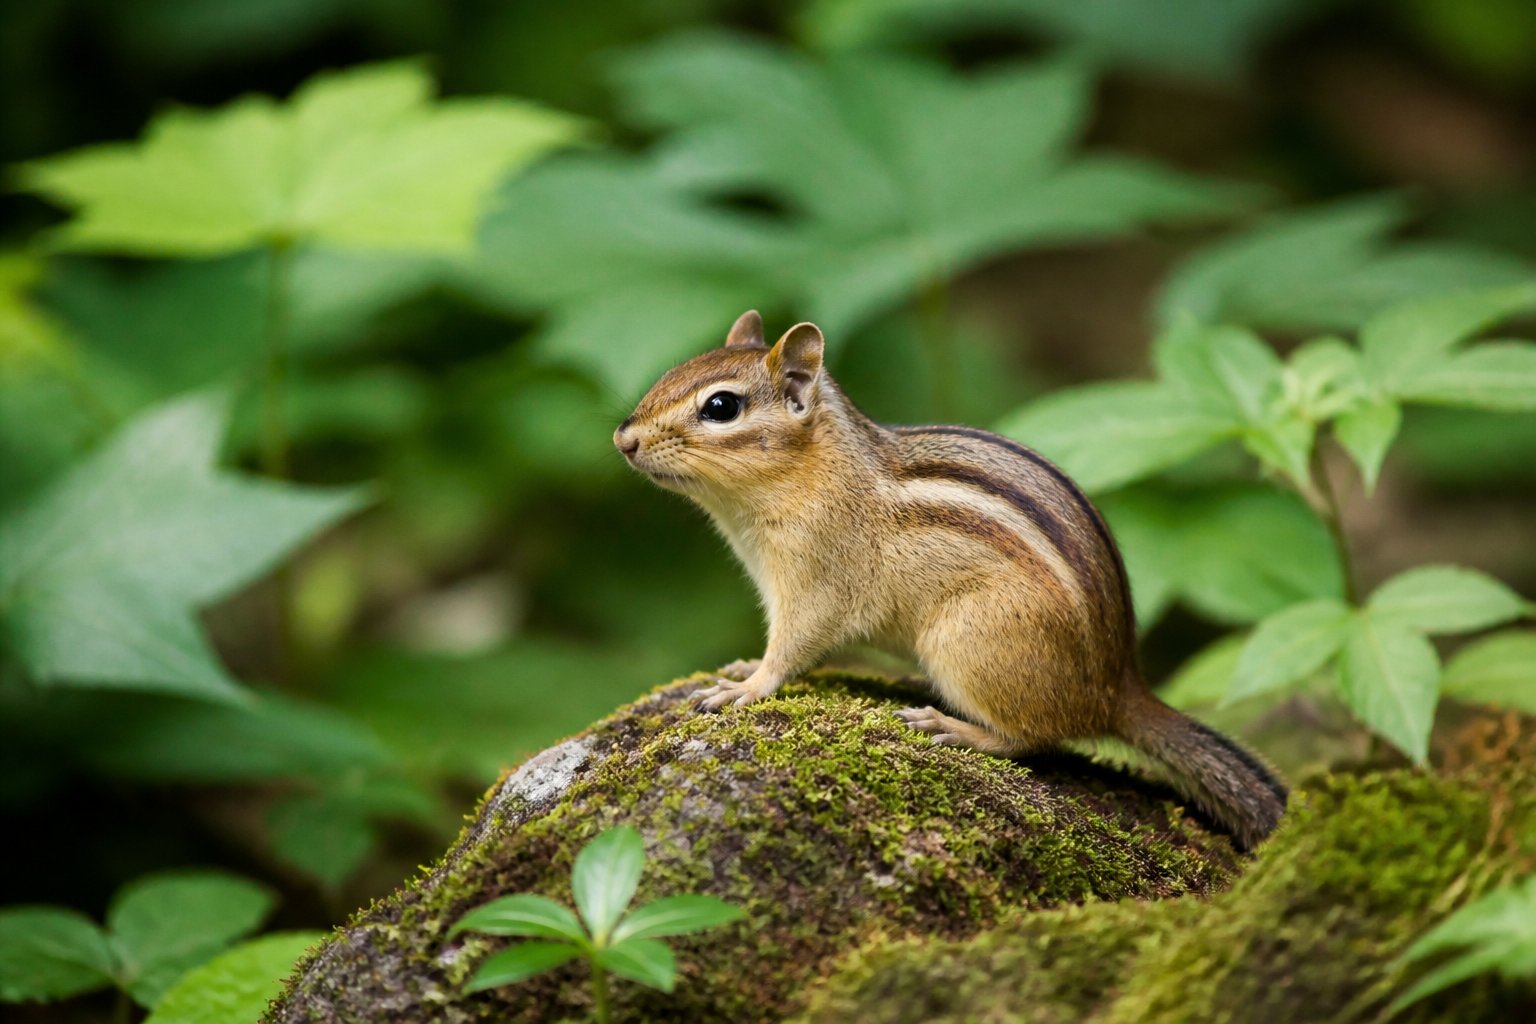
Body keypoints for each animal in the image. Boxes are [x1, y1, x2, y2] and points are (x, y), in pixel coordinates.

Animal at [613, 310, 1288, 850]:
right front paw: (741, 668)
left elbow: (794, 646)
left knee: (1039, 740)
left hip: (966, 639)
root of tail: (1118, 686)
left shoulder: (817, 580)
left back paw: (953, 725)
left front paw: (747, 687)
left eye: (721, 406)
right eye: (674, 371)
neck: (812, 472)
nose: (624, 438)